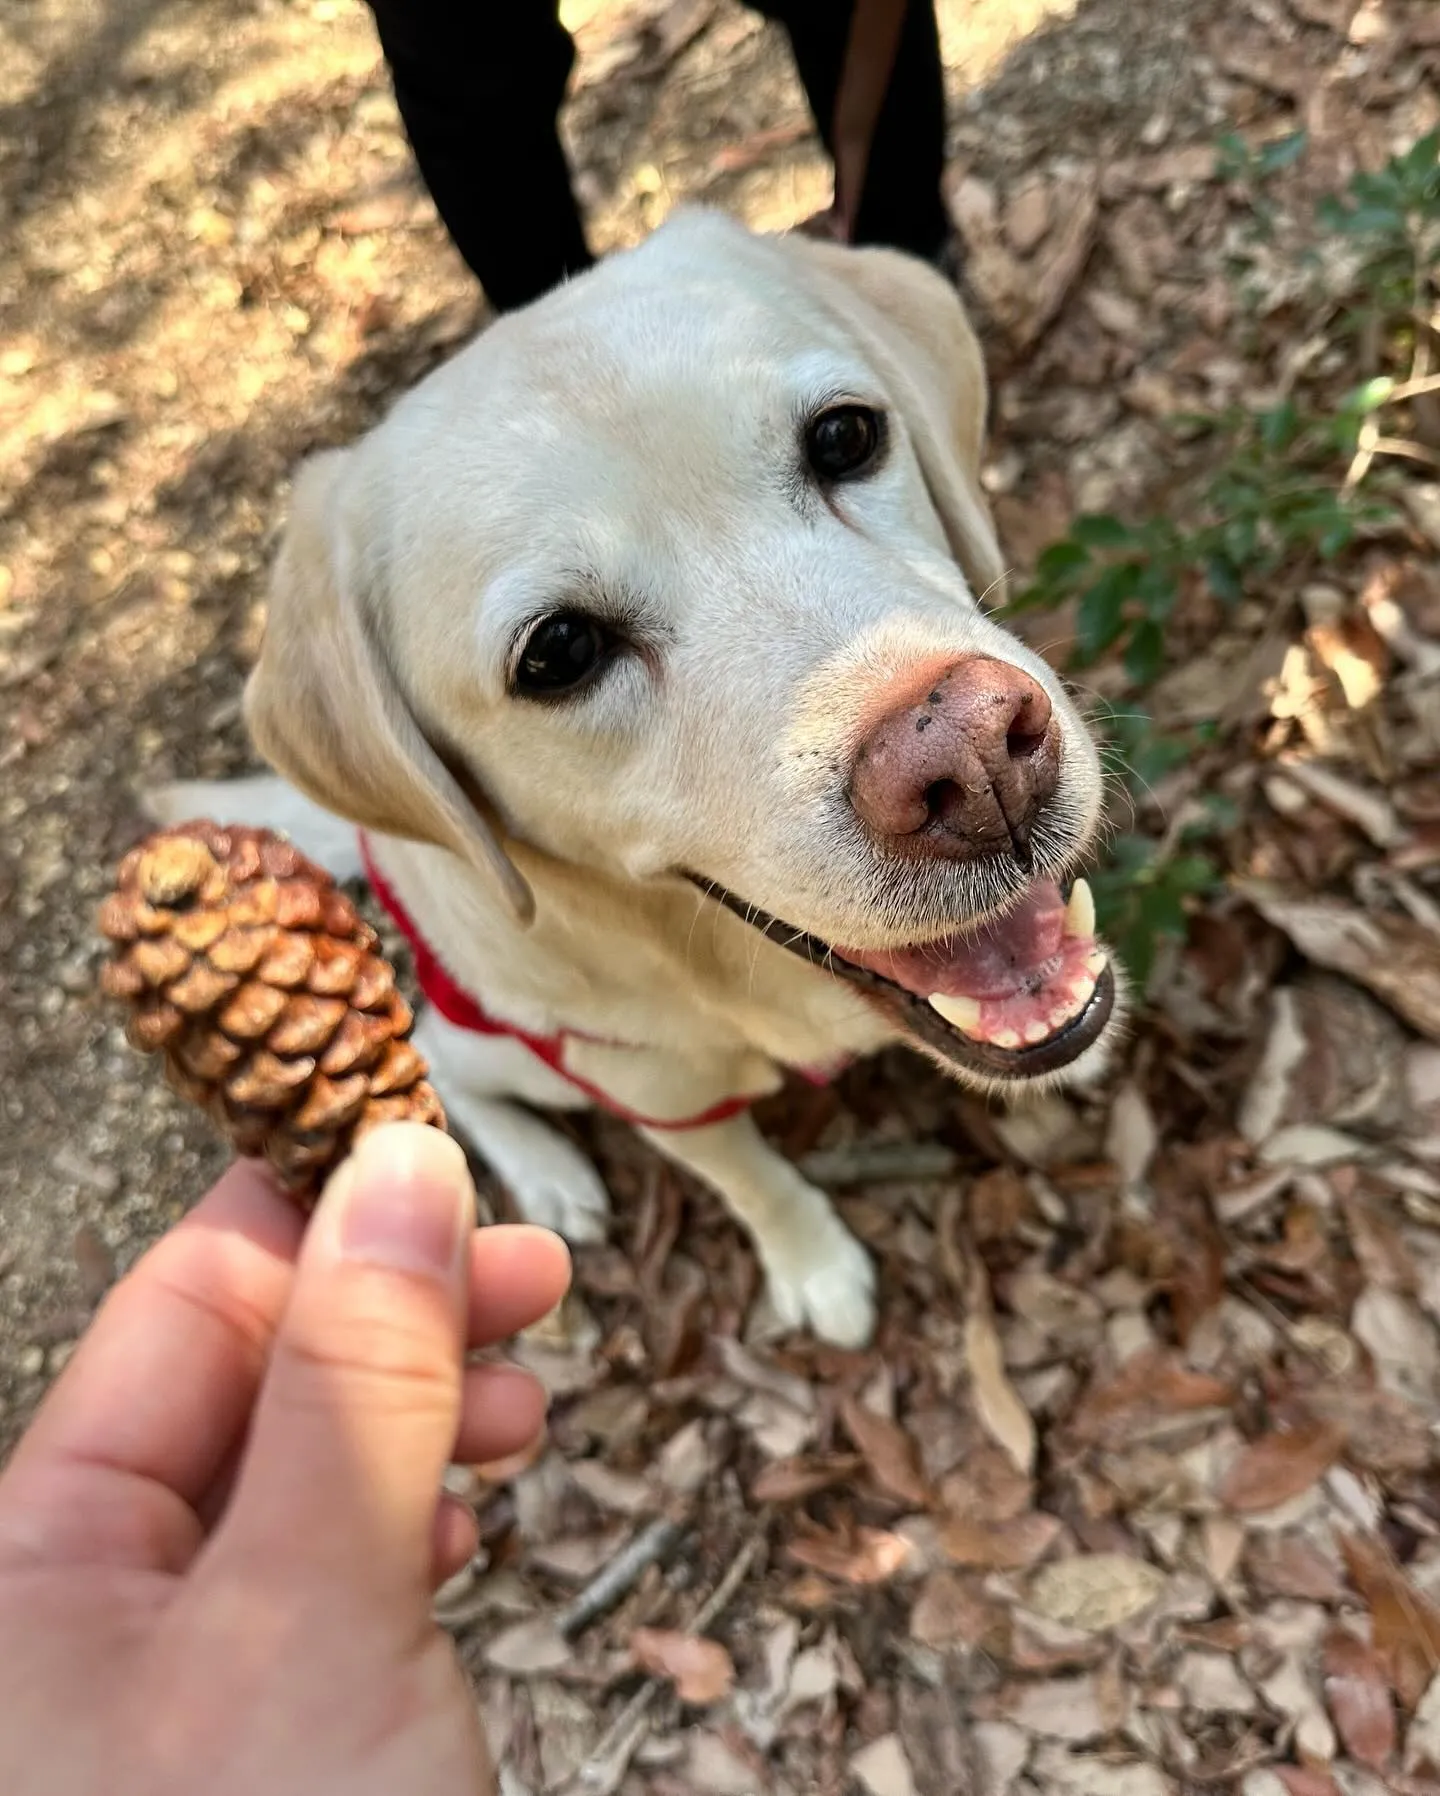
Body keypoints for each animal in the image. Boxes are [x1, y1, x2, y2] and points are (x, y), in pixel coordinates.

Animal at [151, 206, 1113, 1350]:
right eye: (559, 651)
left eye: (845, 437)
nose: (969, 756)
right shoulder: (655, 1088)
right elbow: (748, 1175)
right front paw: (813, 1263)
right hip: (514, 1049)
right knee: (440, 1057)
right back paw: (547, 1175)